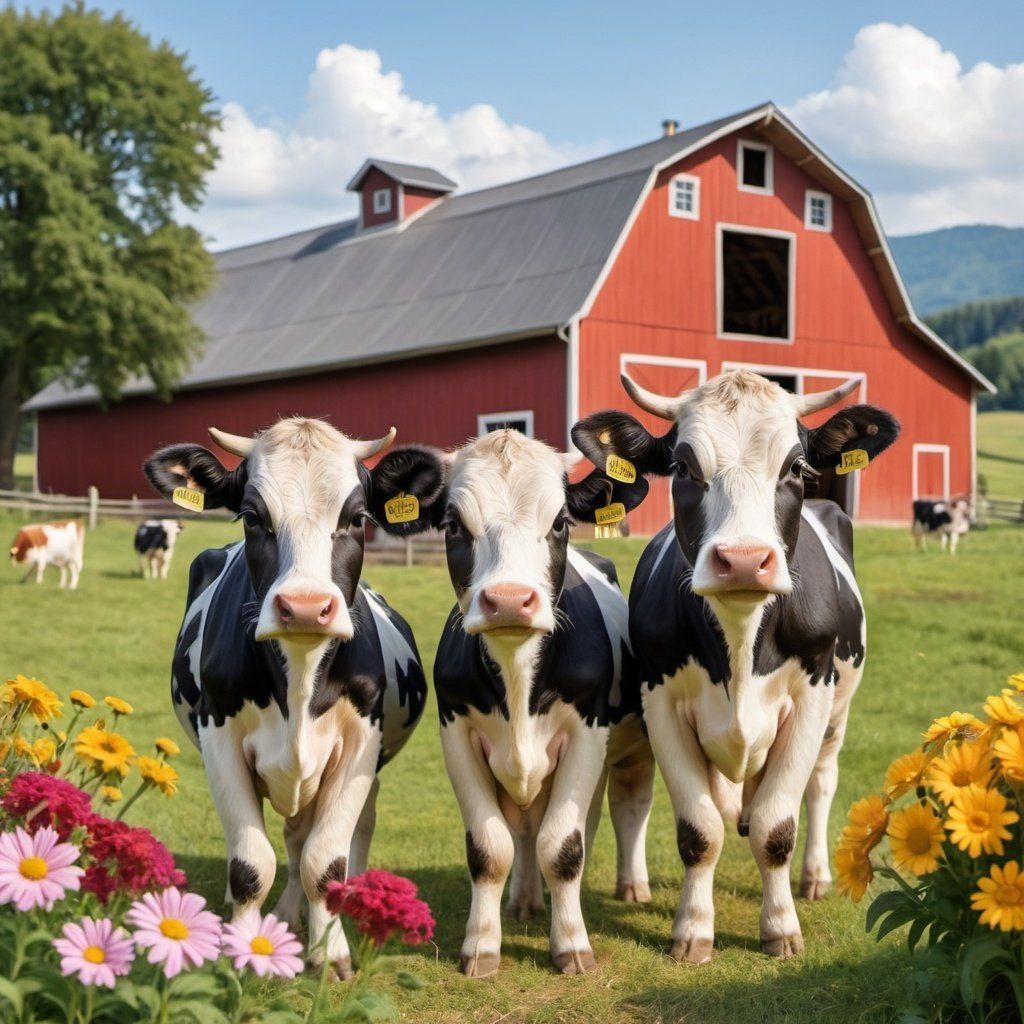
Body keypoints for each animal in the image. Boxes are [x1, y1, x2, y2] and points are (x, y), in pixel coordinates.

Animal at [143, 418, 428, 977]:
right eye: (253, 517)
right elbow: (251, 863)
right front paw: (242, 951)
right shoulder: (220, 739)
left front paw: (331, 955)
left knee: (326, 839)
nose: (305, 607)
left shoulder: (360, 745)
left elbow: (325, 863)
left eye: (357, 517)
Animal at [365, 430, 653, 977]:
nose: (508, 600)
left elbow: (563, 845)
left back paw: (633, 887)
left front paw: (572, 946)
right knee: (525, 828)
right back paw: (523, 901)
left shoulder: (587, 734)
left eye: (559, 521)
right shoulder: (456, 733)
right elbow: (490, 847)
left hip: (632, 751)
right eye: (453, 525)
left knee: (622, 809)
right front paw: (481, 946)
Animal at [571, 370, 899, 963]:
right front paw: (693, 931)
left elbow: (776, 827)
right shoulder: (661, 702)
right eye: (682, 468)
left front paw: (781, 928)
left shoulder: (812, 697)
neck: (743, 645)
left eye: (796, 467)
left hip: (838, 713)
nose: (744, 561)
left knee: (820, 784)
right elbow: (700, 831)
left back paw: (814, 876)